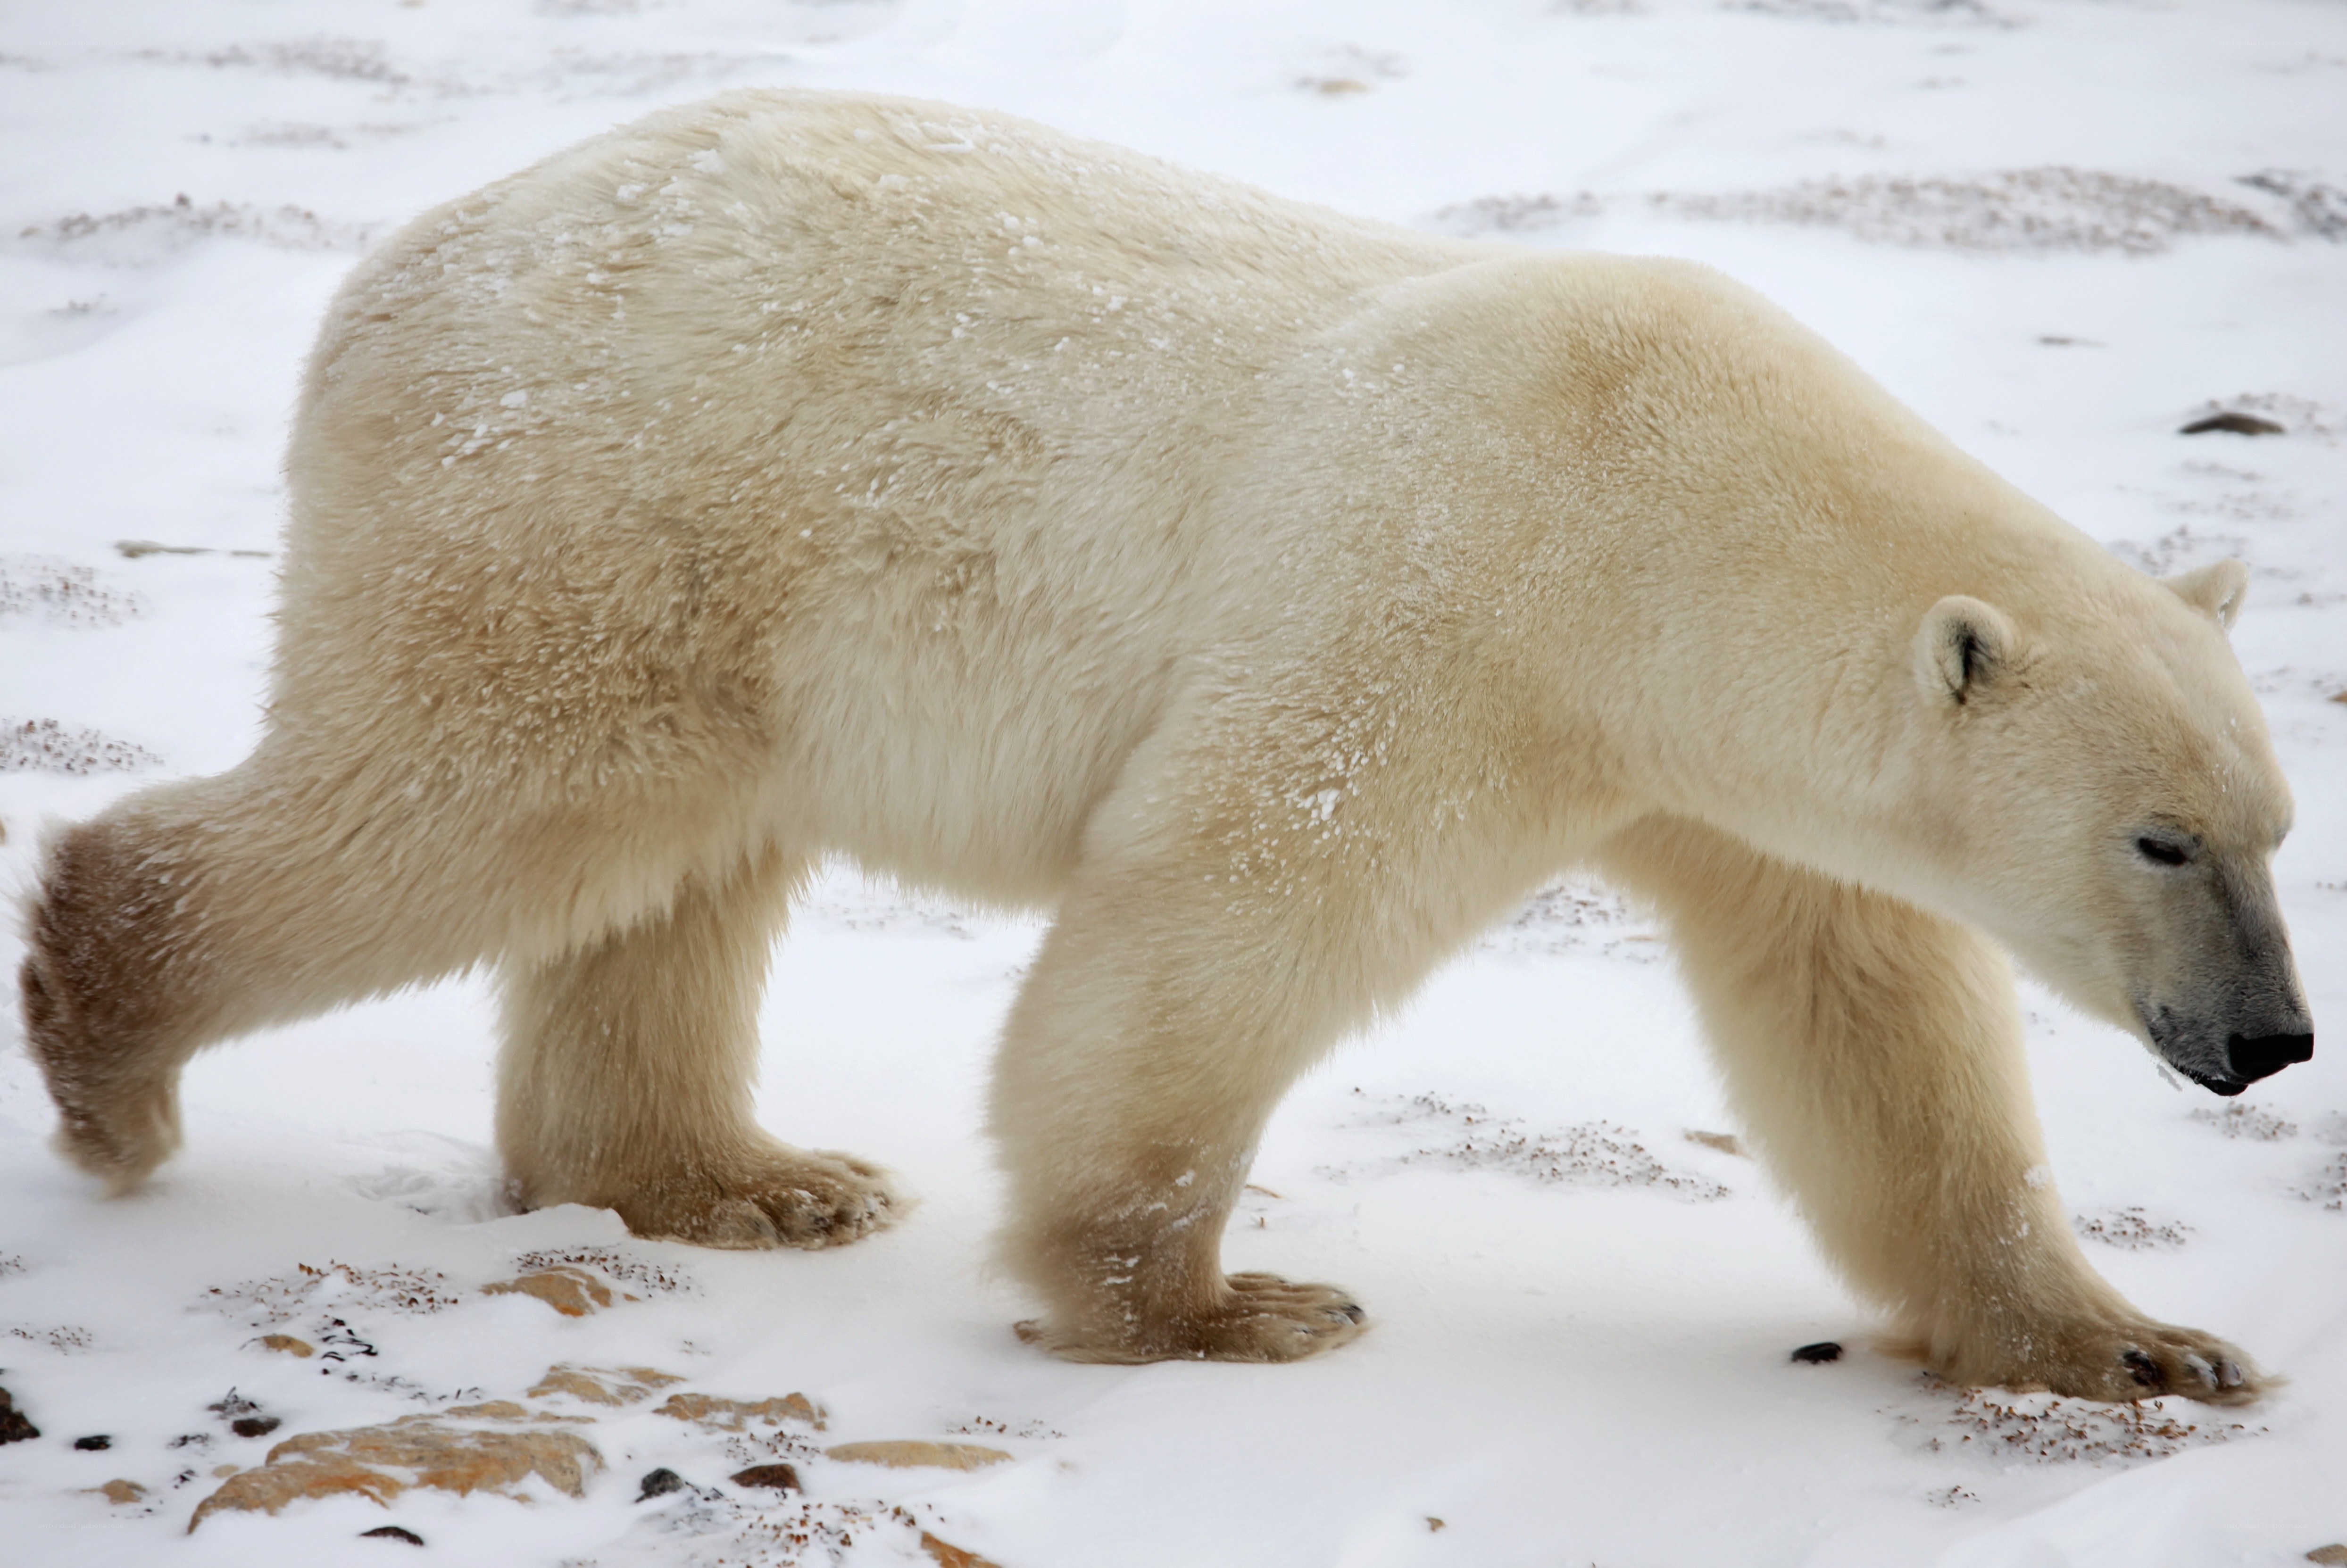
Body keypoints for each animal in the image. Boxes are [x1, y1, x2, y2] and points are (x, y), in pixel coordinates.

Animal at [19, 90, 2313, 1402]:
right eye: (2156, 841)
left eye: (2273, 825)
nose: (2270, 1040)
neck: (1663, 502)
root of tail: (392, 268)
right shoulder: (1446, 596)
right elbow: (1230, 901)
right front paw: (1213, 1303)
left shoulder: (1727, 773)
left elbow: (1872, 1029)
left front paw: (2135, 1341)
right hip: (597, 502)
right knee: (478, 799)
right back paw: (113, 1047)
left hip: (708, 582)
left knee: (669, 874)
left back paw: (738, 1180)